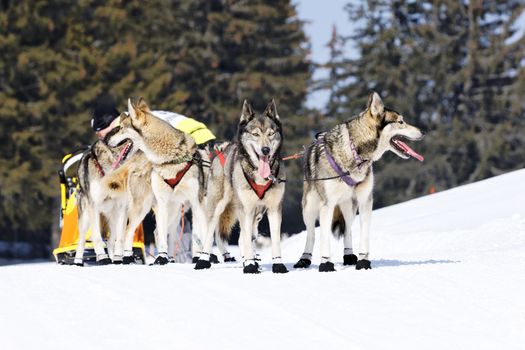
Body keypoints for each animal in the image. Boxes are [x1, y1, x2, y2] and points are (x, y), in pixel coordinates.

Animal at [73, 136, 152, 266]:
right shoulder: (93, 206)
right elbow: (97, 237)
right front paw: (102, 257)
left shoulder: (122, 208)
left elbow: (120, 239)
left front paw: (118, 259)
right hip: (85, 218)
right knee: (82, 240)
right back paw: (78, 261)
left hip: (113, 218)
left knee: (110, 241)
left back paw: (113, 259)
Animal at [107, 97, 209, 264]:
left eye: (121, 128)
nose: (107, 140)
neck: (171, 159)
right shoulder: (163, 202)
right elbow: (162, 236)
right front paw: (162, 257)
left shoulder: (196, 202)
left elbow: (202, 234)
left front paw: (204, 258)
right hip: (143, 207)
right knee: (129, 232)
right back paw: (125, 257)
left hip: (174, 211)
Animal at [195, 98, 288, 274]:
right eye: (255, 134)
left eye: (271, 134)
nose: (265, 150)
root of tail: (223, 149)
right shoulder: (246, 209)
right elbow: (243, 239)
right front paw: (250, 265)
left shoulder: (274, 208)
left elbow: (274, 240)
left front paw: (278, 265)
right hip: (219, 205)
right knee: (211, 233)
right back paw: (203, 260)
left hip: (255, 213)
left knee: (245, 237)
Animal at [292, 91, 424, 272]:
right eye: (401, 122)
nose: (422, 132)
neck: (355, 152)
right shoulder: (327, 204)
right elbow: (324, 237)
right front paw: (326, 263)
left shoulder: (365, 201)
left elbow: (364, 234)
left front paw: (363, 261)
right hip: (309, 207)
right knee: (311, 234)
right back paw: (304, 259)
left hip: (349, 207)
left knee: (347, 230)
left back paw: (349, 255)